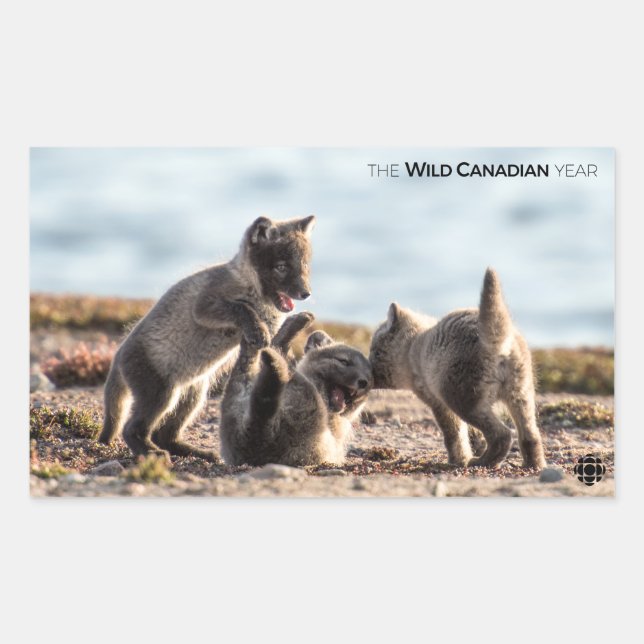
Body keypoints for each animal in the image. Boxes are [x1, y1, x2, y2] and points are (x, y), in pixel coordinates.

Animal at [98, 215, 315, 461]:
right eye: (281, 267)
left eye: (304, 266)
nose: (306, 293)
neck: (252, 289)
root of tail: (117, 356)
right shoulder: (203, 306)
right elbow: (241, 308)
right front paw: (256, 328)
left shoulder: (271, 329)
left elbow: (276, 335)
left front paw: (296, 323)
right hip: (160, 394)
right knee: (131, 429)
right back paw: (151, 452)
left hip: (193, 395)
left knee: (165, 435)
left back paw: (193, 452)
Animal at [369, 268, 546, 470]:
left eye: (375, 352)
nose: (366, 372)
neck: (414, 346)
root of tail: (497, 342)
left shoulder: (438, 401)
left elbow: (454, 435)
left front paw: (458, 460)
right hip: (521, 395)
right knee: (531, 436)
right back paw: (533, 465)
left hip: (463, 398)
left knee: (502, 435)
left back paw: (482, 462)